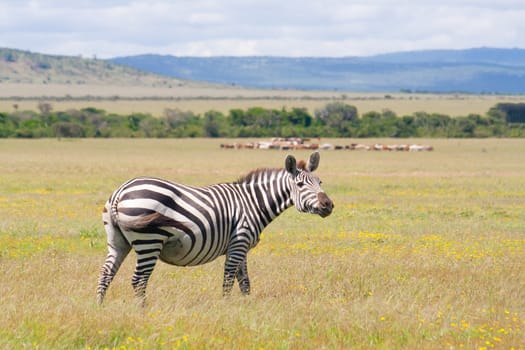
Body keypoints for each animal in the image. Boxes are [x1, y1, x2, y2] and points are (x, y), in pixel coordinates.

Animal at [96, 152, 334, 304]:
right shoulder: (238, 243)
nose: (328, 205)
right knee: (139, 280)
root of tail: (120, 191)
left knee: (106, 274)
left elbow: (244, 282)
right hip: (149, 241)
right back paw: (142, 310)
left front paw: (246, 307)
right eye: (301, 185)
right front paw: (226, 308)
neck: (253, 202)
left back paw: (100, 307)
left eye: (320, 182)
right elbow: (228, 279)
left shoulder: (241, 247)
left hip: (118, 242)